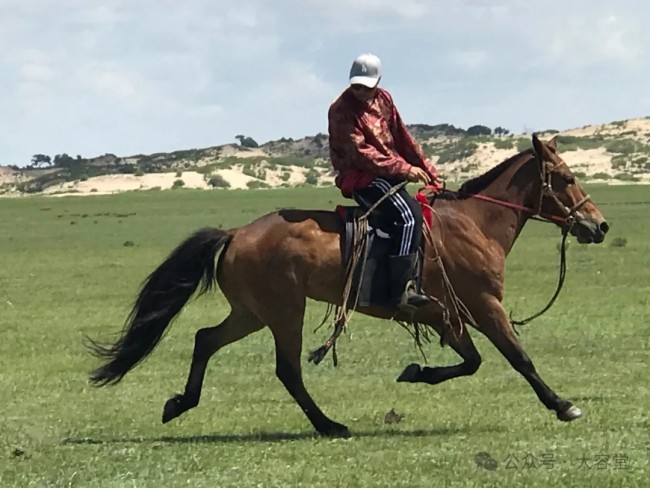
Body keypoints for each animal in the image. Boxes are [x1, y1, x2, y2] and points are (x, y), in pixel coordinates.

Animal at [86, 134, 608, 438]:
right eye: (566, 177)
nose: (598, 226)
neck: (474, 223)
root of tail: (237, 233)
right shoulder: (483, 305)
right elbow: (518, 358)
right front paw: (562, 405)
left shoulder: (445, 313)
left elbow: (472, 361)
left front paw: (416, 372)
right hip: (284, 313)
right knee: (287, 369)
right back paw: (329, 425)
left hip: (252, 313)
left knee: (205, 339)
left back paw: (181, 402)